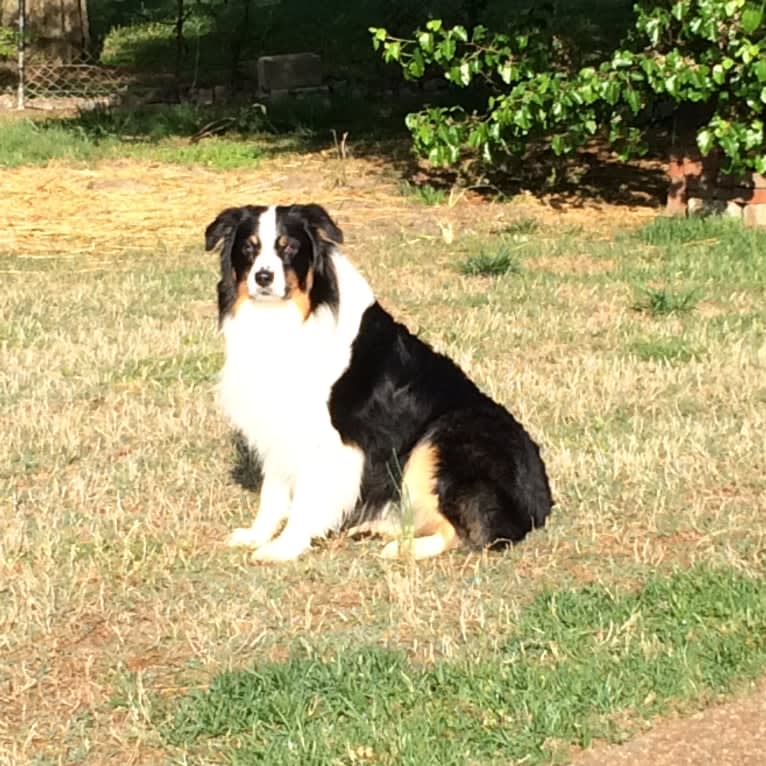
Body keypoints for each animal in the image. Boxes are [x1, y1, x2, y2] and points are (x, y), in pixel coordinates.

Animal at [204, 204, 552, 564]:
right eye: (249, 248)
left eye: (289, 247)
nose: (263, 277)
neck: (289, 314)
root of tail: (540, 504)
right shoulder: (276, 425)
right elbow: (271, 494)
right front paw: (256, 535)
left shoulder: (327, 441)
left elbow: (306, 500)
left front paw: (285, 547)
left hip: (440, 439)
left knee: (461, 530)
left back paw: (401, 548)